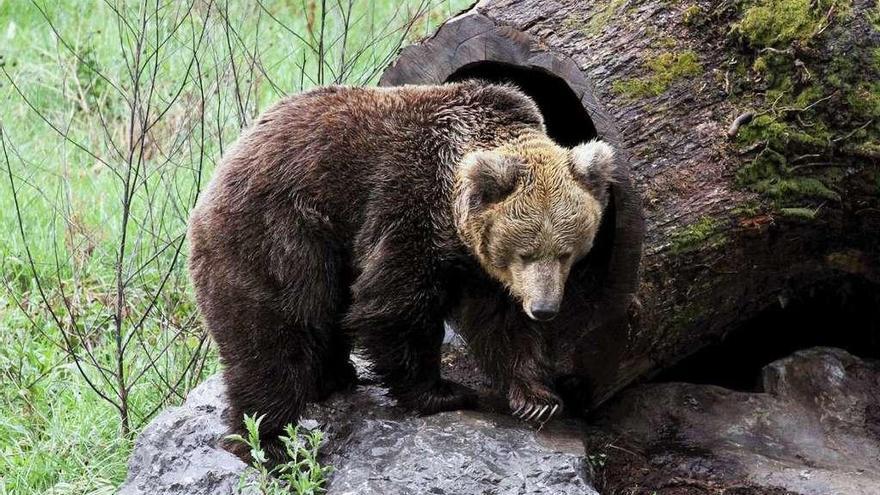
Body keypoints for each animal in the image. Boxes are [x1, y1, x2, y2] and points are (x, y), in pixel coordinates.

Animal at [187, 81, 612, 458]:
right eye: (525, 253)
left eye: (567, 253)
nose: (544, 309)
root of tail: (220, 170)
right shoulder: (406, 206)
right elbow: (395, 304)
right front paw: (442, 391)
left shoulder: (480, 265)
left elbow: (500, 323)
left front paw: (538, 398)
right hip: (277, 235)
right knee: (272, 334)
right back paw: (267, 439)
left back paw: (334, 376)